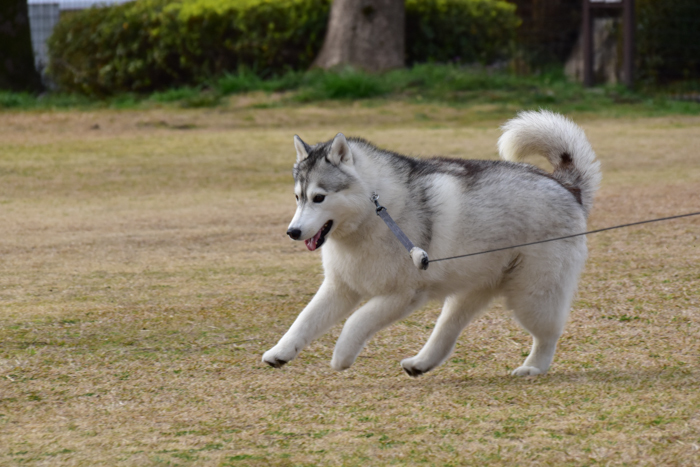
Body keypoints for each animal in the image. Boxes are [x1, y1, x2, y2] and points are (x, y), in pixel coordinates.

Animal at [262, 111, 600, 378]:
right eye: (298, 197)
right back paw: (421, 363)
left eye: (319, 197)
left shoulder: (403, 295)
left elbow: (356, 321)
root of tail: (566, 186)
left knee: (548, 334)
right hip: (472, 289)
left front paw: (341, 356)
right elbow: (304, 320)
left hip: (532, 297)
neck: (374, 213)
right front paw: (280, 352)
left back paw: (534, 367)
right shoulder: (340, 287)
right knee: (447, 331)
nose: (293, 231)